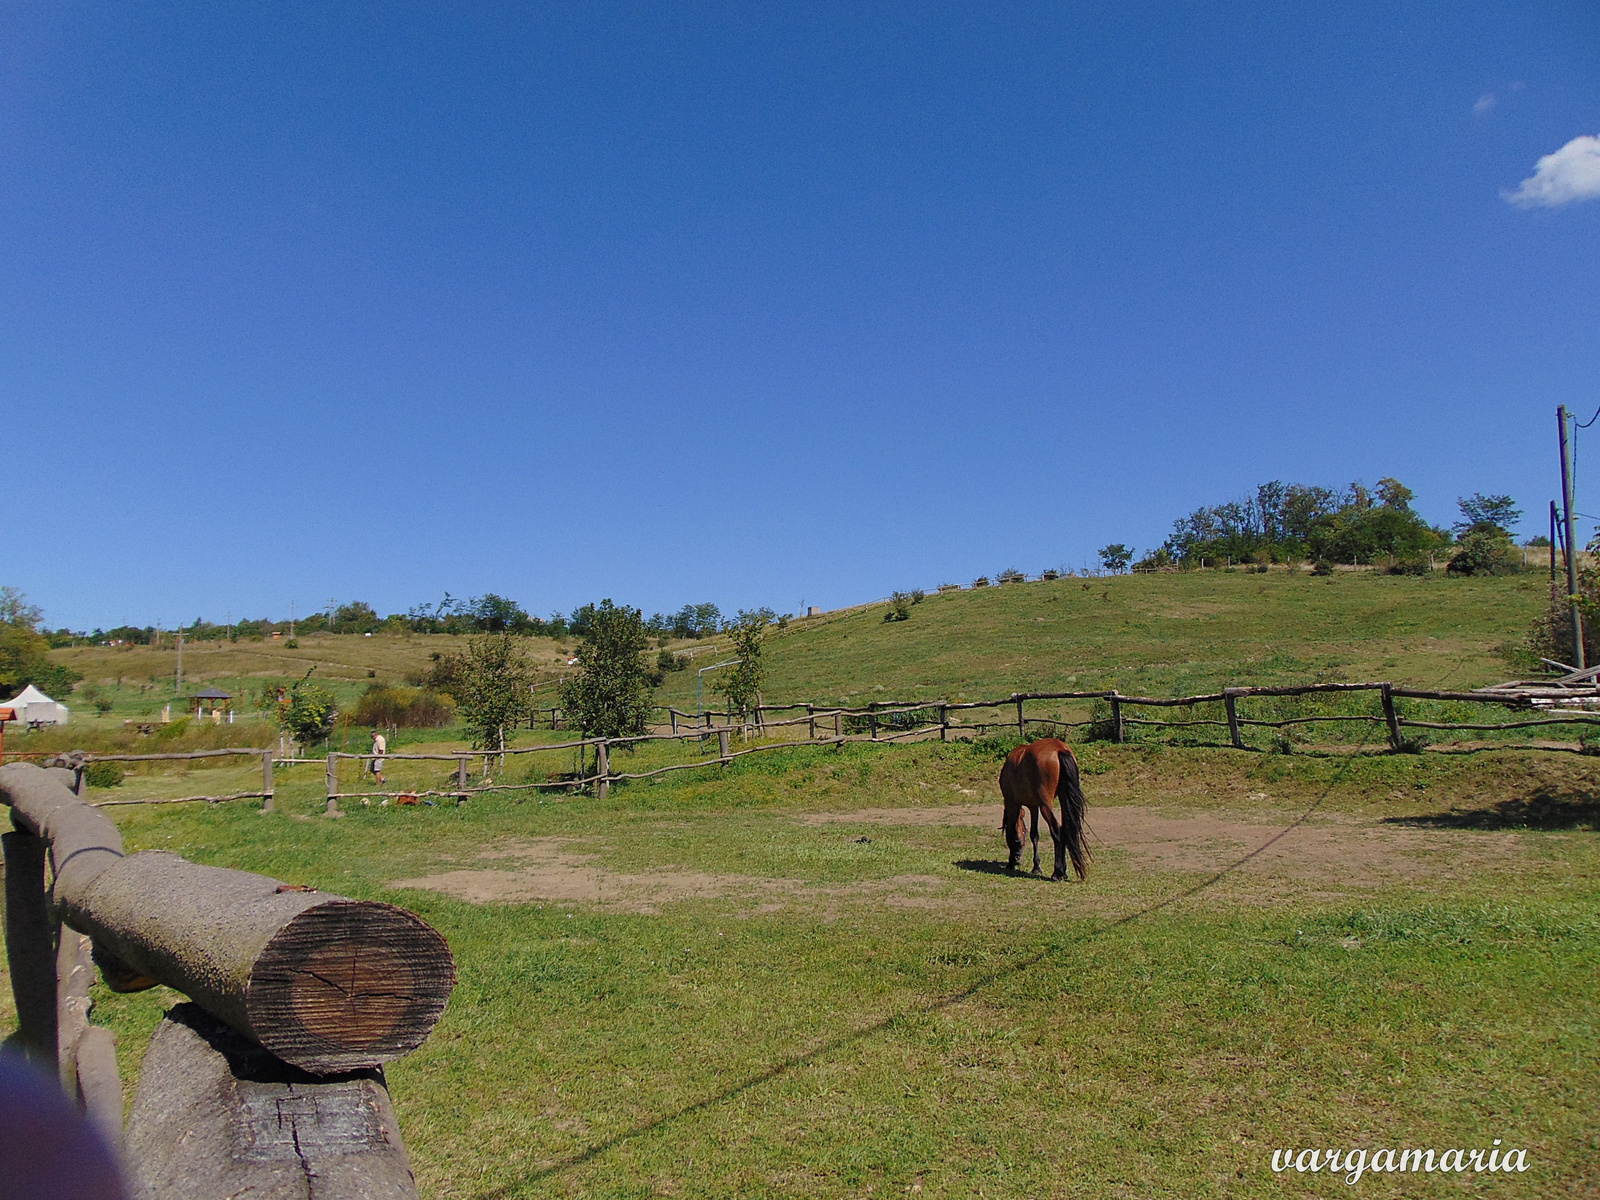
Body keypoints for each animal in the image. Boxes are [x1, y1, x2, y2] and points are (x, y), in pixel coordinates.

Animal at [998, 732, 1088, 883]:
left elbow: (1011, 831)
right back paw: (1063, 872)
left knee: (1057, 831)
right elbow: (1034, 835)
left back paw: (1057, 872)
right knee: (1065, 830)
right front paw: (1036, 867)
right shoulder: (1034, 806)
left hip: (1046, 805)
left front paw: (1011, 863)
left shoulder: (1012, 803)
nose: (1017, 858)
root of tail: (1059, 749)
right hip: (1063, 800)